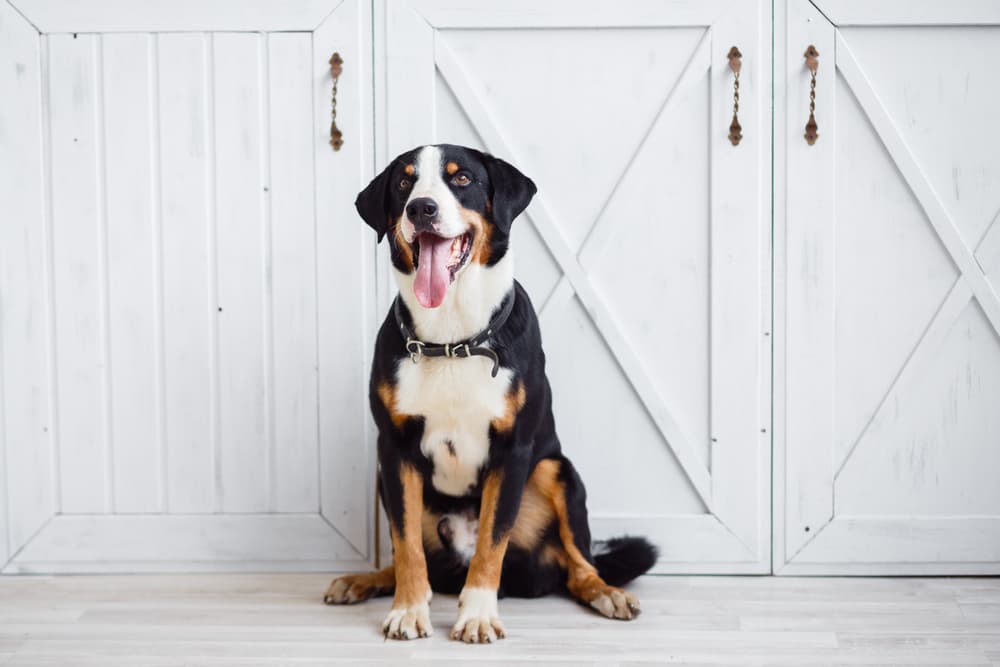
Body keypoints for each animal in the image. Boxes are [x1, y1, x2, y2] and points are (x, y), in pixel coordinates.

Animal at [324, 145, 660, 640]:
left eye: (461, 178)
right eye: (405, 182)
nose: (421, 208)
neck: (452, 340)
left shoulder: (512, 449)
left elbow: (490, 542)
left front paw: (478, 614)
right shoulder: (395, 450)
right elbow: (406, 545)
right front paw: (409, 610)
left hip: (558, 472)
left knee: (579, 565)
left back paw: (606, 592)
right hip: (387, 481)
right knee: (416, 558)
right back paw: (362, 581)